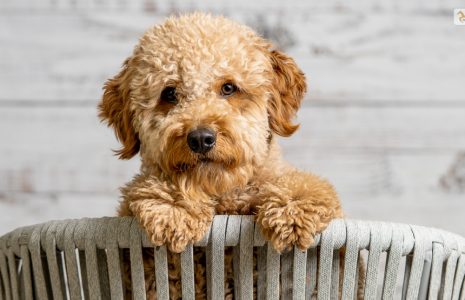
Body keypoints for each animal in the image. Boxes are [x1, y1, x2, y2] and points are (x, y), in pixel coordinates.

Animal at [99, 12, 344, 298]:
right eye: (169, 93)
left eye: (229, 88)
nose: (201, 139)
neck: (224, 195)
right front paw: (173, 208)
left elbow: (308, 186)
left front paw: (292, 211)